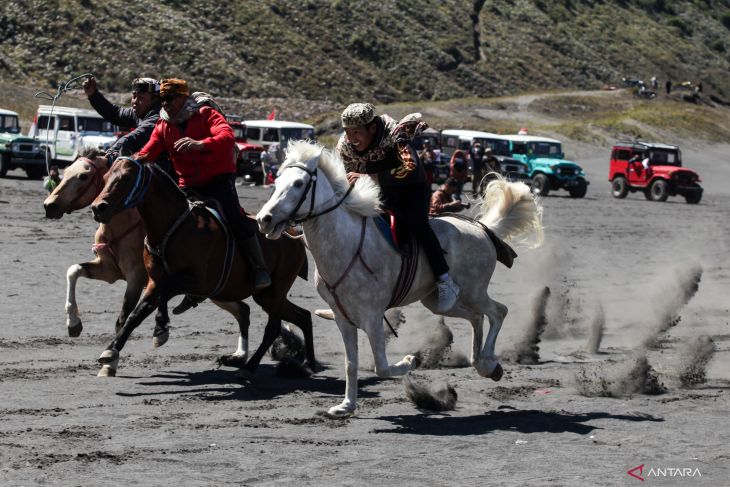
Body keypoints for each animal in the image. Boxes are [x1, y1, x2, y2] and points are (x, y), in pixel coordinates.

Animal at [43, 151, 258, 380]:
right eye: (66, 171)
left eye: (83, 176)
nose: (49, 205)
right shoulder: (108, 270)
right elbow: (73, 271)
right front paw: (73, 323)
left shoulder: (136, 278)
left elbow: (124, 318)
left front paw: (110, 362)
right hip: (217, 290)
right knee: (243, 311)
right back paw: (239, 356)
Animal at [89, 157, 314, 378]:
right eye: (106, 177)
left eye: (126, 177)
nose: (98, 208)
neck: (172, 227)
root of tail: (293, 234)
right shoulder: (153, 281)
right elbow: (136, 314)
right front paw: (111, 352)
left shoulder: (197, 281)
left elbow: (165, 290)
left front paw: (161, 329)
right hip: (265, 295)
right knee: (303, 316)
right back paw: (308, 362)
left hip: (276, 290)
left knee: (273, 327)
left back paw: (250, 366)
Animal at [258, 140, 540, 416]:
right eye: (277, 182)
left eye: (298, 184)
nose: (264, 219)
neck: (344, 244)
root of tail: (483, 230)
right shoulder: (343, 318)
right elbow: (351, 363)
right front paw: (346, 406)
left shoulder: (372, 317)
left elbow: (381, 367)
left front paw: (410, 361)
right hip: (437, 302)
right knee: (477, 317)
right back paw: (481, 363)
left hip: (475, 292)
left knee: (498, 312)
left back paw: (489, 364)